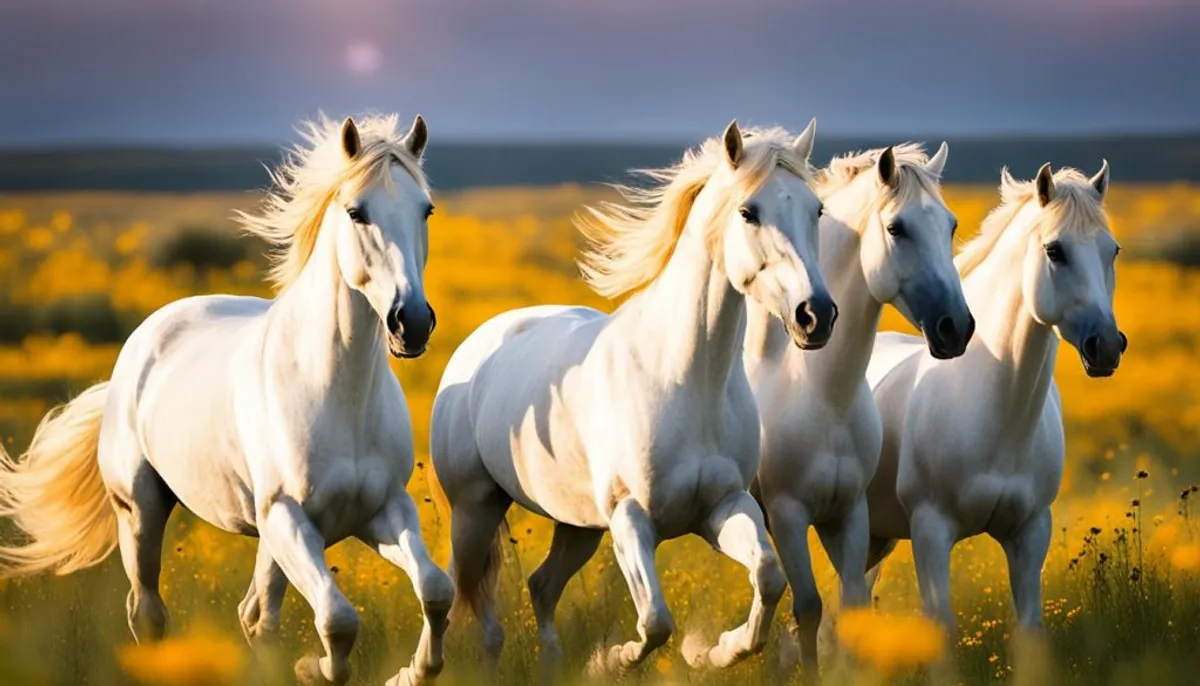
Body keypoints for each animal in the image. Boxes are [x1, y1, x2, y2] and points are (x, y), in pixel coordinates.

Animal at [0, 115, 453, 681]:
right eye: (356, 212)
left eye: (426, 209)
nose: (410, 323)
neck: (336, 393)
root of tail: (144, 339)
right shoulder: (290, 518)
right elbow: (339, 619)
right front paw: (313, 668)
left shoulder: (381, 511)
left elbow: (435, 590)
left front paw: (407, 672)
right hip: (142, 511)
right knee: (149, 611)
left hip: (271, 537)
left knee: (255, 614)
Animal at [432, 120, 835, 671]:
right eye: (748, 212)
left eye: (816, 210)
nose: (815, 316)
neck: (686, 379)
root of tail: (481, 342)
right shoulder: (630, 518)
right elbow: (656, 621)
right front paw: (611, 660)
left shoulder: (722, 507)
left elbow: (769, 577)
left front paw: (718, 651)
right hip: (475, 509)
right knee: (469, 598)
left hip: (577, 526)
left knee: (541, 586)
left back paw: (553, 663)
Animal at [739, 140, 974, 671]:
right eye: (896, 228)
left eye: (950, 225)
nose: (957, 328)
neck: (824, 397)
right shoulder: (788, 514)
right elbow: (808, 608)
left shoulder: (848, 515)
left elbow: (851, 610)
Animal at [864, 160, 1123, 633]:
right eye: (1055, 251)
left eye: (1111, 250)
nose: (1108, 346)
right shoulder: (931, 530)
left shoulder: (1030, 532)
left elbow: (1030, 627)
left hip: (876, 535)